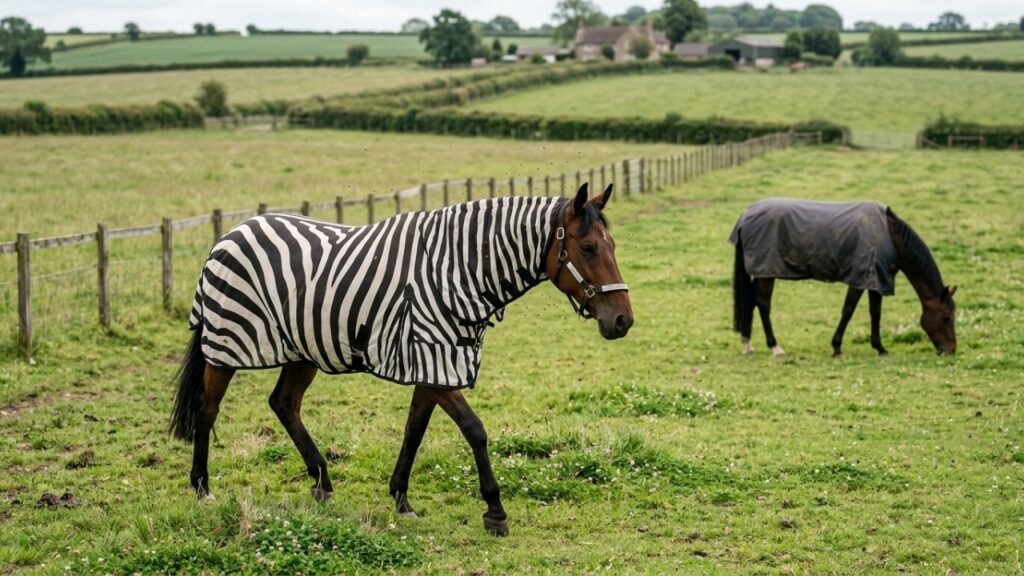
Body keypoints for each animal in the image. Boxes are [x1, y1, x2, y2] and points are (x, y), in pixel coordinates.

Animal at [170, 183, 633, 536]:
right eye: (588, 247)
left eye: (612, 245)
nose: (623, 321)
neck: (457, 272)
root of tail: (230, 233)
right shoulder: (434, 355)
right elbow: (475, 430)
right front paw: (495, 511)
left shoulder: (435, 360)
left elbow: (414, 430)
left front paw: (401, 497)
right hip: (226, 344)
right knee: (207, 408)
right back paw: (203, 488)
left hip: (302, 349)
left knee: (284, 403)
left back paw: (321, 480)